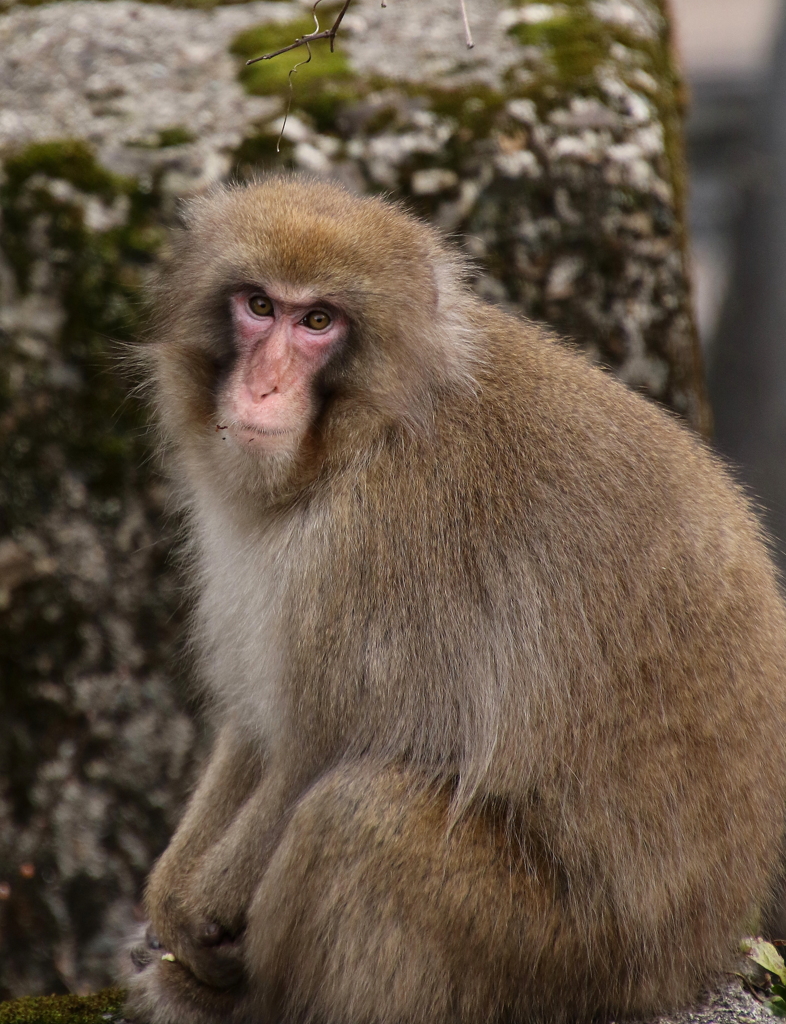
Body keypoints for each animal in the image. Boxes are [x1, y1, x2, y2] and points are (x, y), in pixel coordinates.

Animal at [122, 176, 786, 1024]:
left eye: (318, 322)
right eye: (259, 306)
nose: (263, 386)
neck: (353, 442)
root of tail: (695, 956)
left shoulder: (380, 542)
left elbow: (324, 744)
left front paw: (196, 915)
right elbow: (261, 728)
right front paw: (169, 900)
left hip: (557, 960)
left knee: (360, 817)